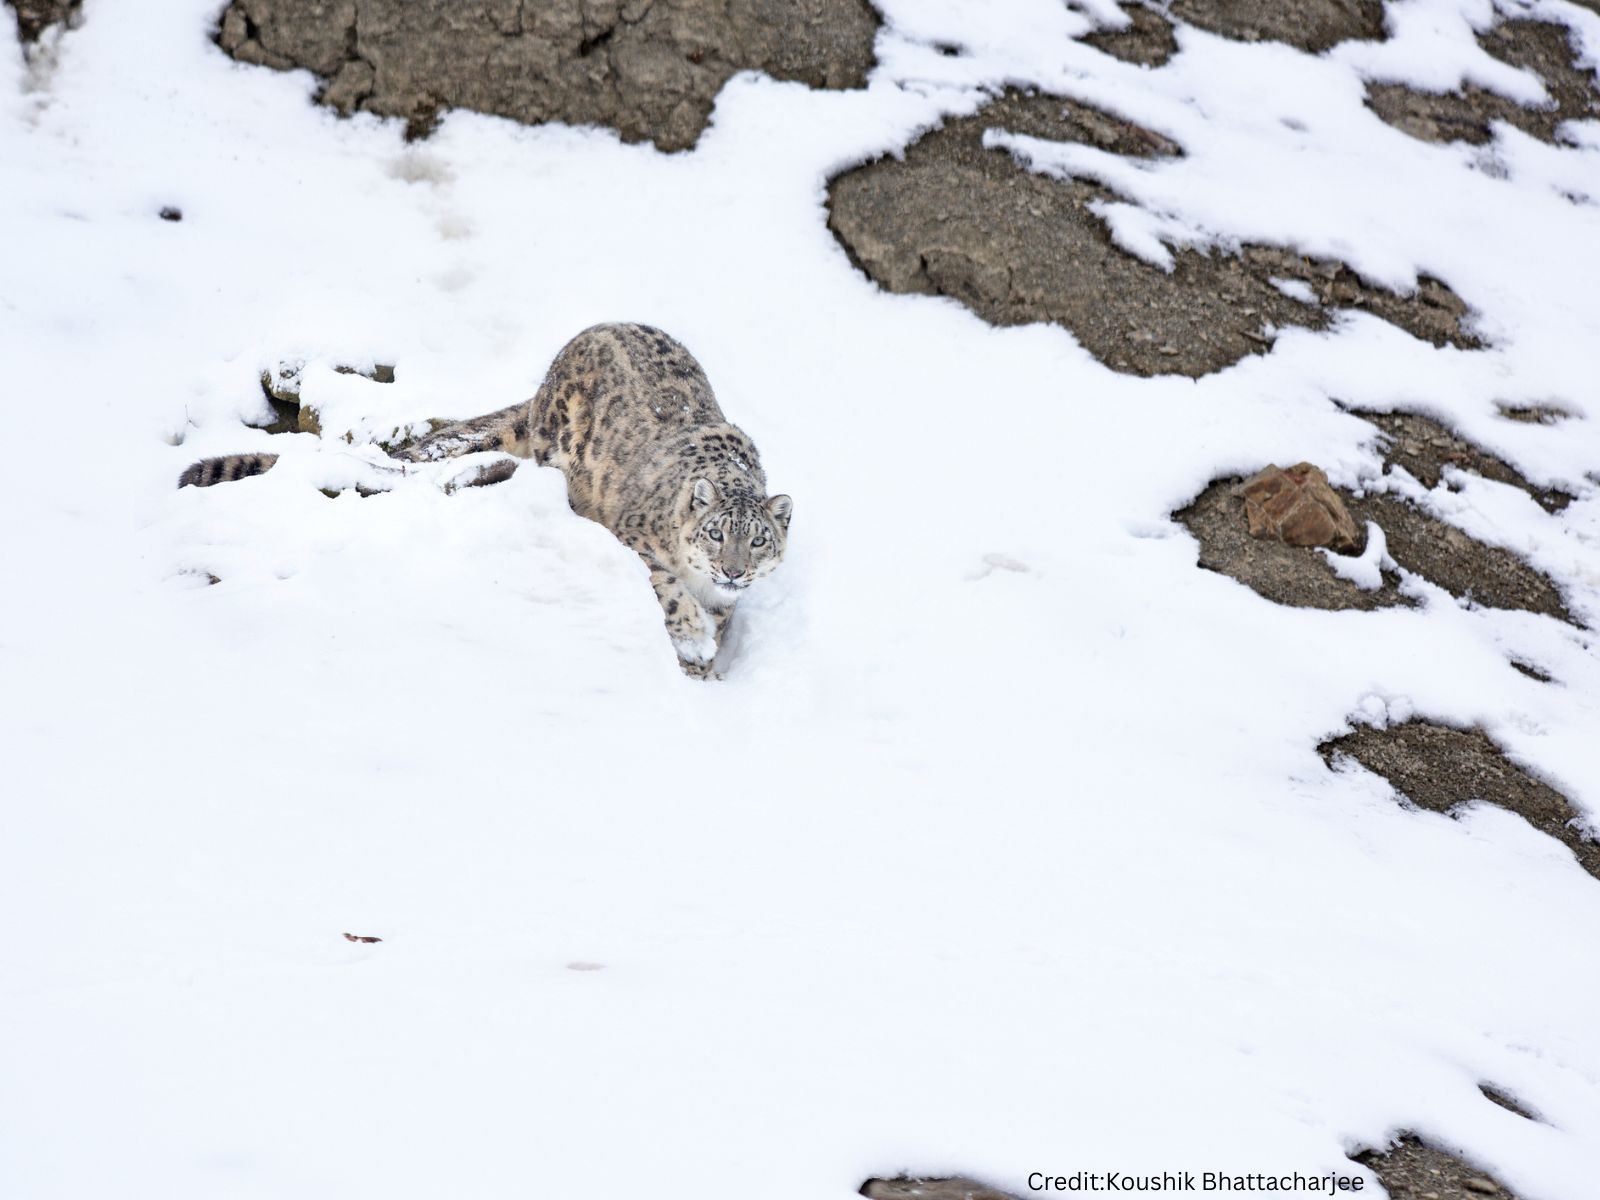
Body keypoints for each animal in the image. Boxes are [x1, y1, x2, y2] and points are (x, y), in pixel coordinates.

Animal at [178, 324, 790, 681]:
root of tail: (552, 372)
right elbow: (668, 589)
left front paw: (706, 662)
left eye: (759, 540)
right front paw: (692, 642)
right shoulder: (636, 538)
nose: (733, 570)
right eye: (716, 532)